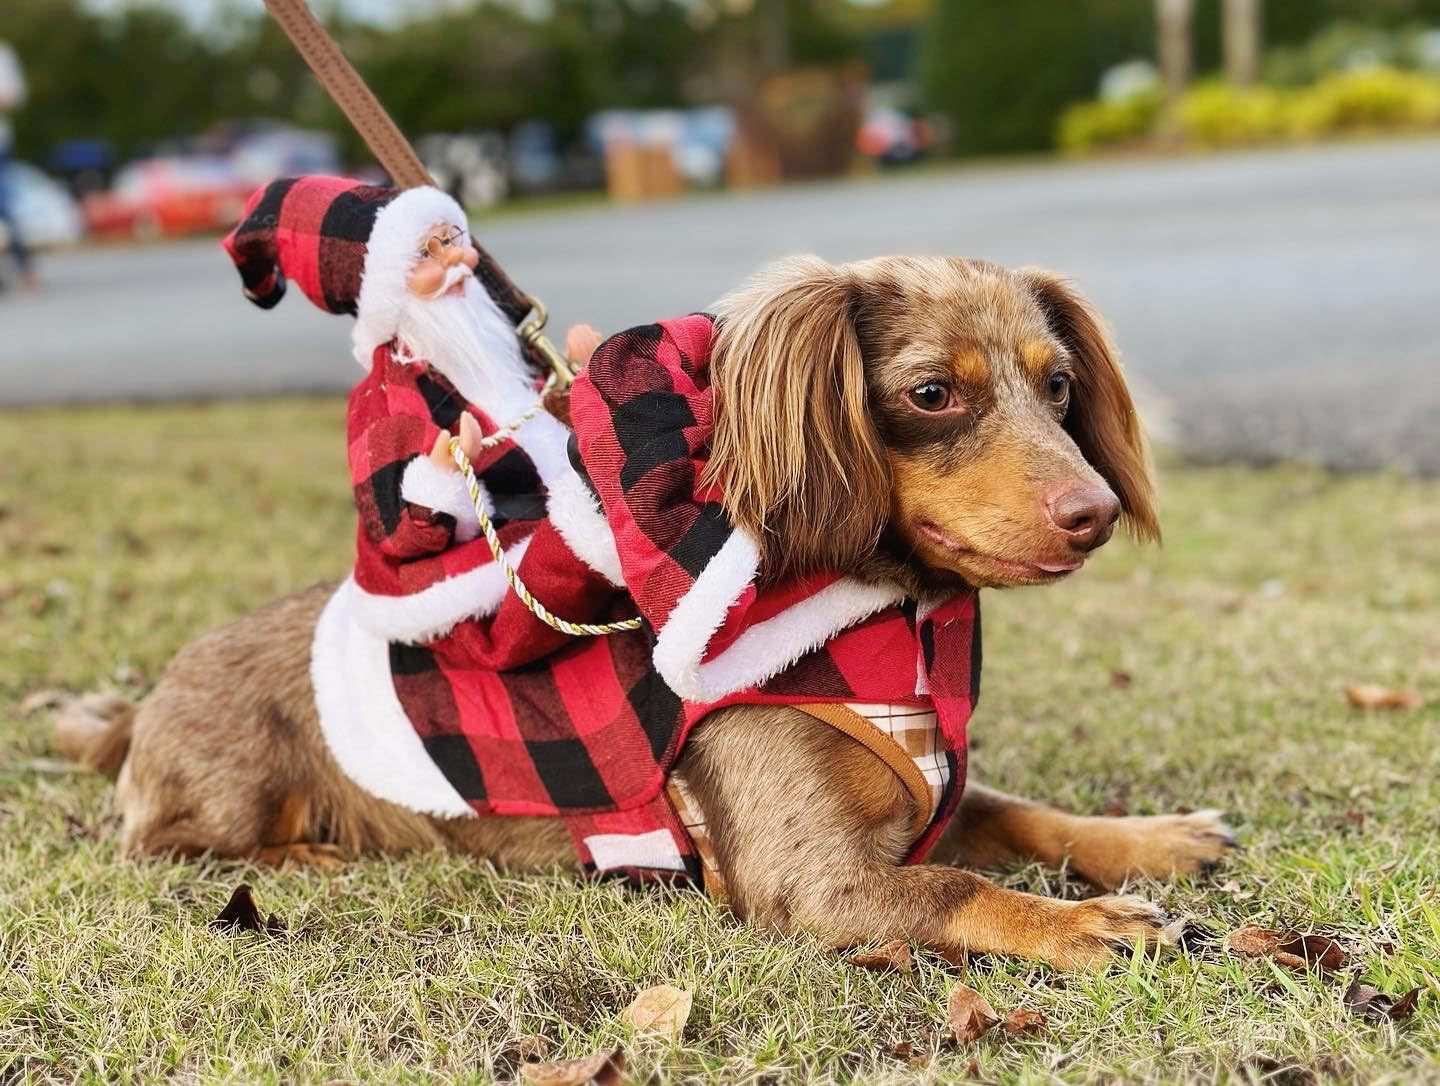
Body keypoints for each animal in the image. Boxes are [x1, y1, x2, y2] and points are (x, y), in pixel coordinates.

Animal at [50, 253, 1232, 962]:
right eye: (933, 393)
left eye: (1059, 385)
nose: (1094, 512)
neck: (899, 630)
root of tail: (144, 706)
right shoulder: (810, 880)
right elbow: (952, 885)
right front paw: (1080, 922)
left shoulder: (936, 788)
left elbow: (1024, 815)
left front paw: (1153, 840)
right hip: (228, 796)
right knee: (169, 843)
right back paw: (306, 856)